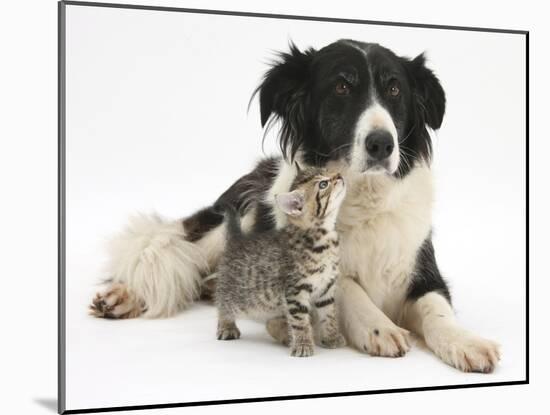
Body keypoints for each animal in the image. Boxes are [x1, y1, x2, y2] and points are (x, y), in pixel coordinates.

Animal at [218, 167, 348, 360]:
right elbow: (300, 321)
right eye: (323, 184)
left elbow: (329, 315)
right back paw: (226, 326)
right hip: (239, 296)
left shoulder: (326, 288)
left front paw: (332, 338)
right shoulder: (295, 290)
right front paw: (303, 345)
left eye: (327, 171)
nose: (339, 175)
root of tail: (237, 240)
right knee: (224, 305)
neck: (323, 238)